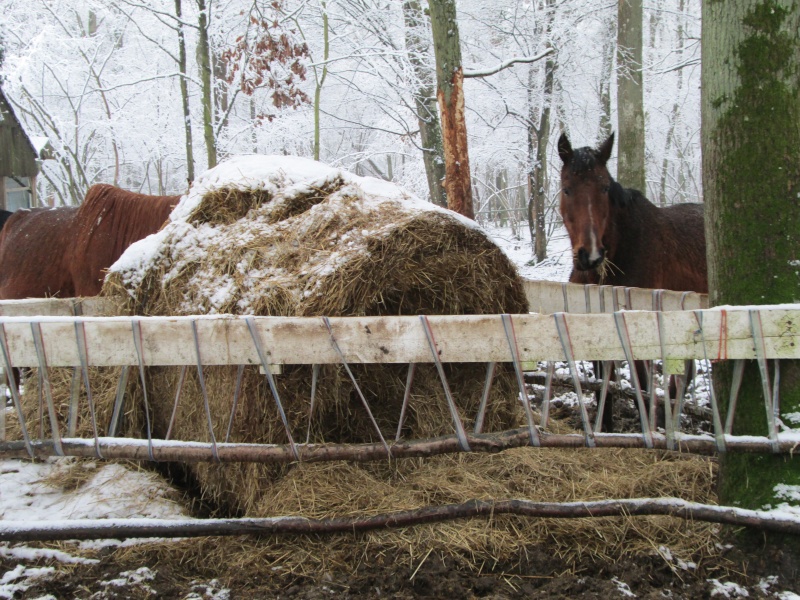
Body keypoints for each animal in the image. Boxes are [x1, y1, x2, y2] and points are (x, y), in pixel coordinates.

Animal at [556, 132, 708, 432]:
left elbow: (642, 386)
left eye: (604, 188)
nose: (591, 255)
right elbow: (603, 382)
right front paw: (604, 427)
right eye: (567, 189)